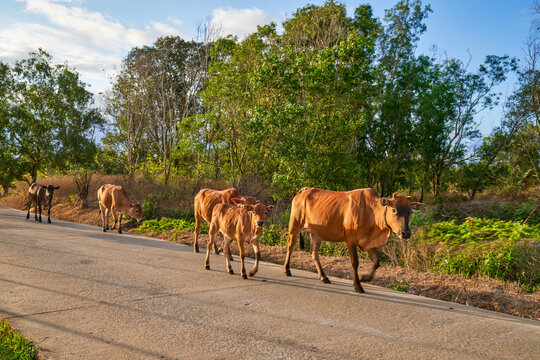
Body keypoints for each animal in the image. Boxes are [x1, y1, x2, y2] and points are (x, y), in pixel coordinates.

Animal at [282, 187, 422, 294]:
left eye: (410, 211)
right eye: (394, 210)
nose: (406, 233)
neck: (371, 213)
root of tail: (304, 190)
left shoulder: (368, 242)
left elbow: (377, 262)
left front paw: (365, 277)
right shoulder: (351, 240)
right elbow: (355, 262)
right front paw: (358, 285)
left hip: (317, 234)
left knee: (313, 253)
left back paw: (323, 277)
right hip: (295, 224)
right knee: (290, 246)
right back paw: (287, 270)